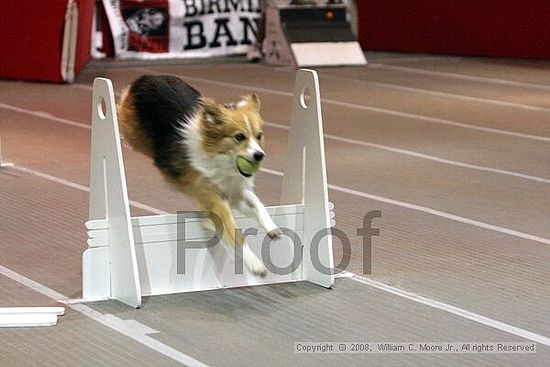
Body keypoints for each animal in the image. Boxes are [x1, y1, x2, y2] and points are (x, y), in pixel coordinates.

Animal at [116, 75, 280, 278]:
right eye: (239, 137)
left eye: (259, 136)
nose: (259, 155)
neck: (223, 159)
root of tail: (146, 78)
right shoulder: (215, 199)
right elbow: (235, 232)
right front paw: (254, 262)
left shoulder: (235, 189)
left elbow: (257, 204)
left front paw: (270, 225)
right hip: (134, 136)